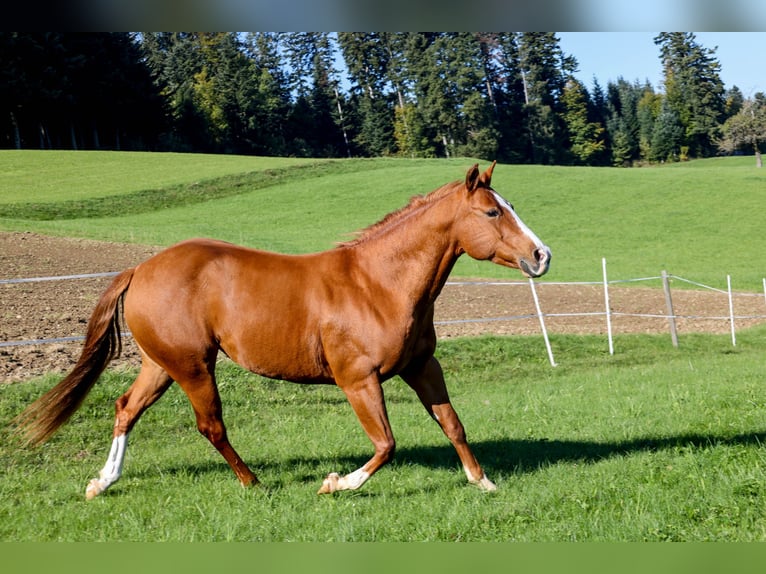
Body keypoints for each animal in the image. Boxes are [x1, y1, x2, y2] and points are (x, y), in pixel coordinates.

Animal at [16, 162, 552, 500]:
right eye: (492, 212)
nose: (542, 255)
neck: (379, 283)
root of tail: (141, 269)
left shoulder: (421, 366)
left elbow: (452, 423)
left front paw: (482, 482)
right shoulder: (358, 379)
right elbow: (385, 444)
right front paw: (335, 484)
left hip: (162, 364)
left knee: (126, 409)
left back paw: (101, 483)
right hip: (194, 366)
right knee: (210, 425)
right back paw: (253, 483)